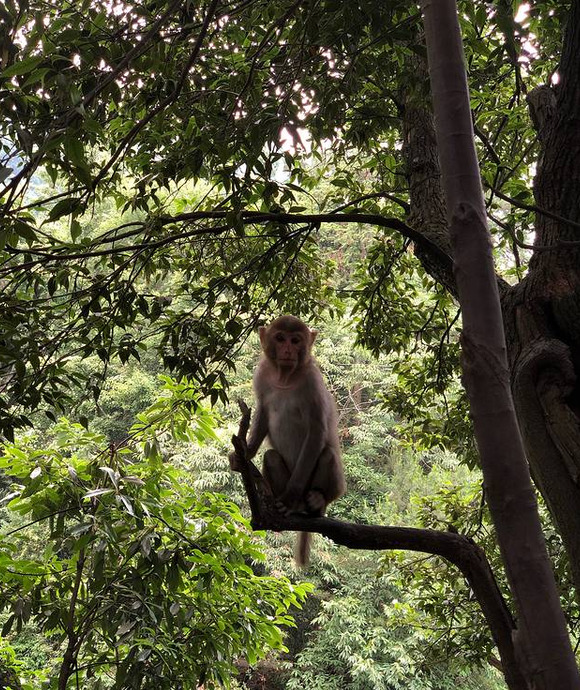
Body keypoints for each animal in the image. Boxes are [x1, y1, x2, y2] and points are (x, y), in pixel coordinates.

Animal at [229, 314, 344, 560]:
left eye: (296, 340)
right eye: (280, 338)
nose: (288, 350)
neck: (286, 377)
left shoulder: (312, 382)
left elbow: (317, 431)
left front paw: (289, 498)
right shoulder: (262, 374)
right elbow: (263, 411)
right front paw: (244, 452)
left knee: (327, 454)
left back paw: (316, 501)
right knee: (271, 456)